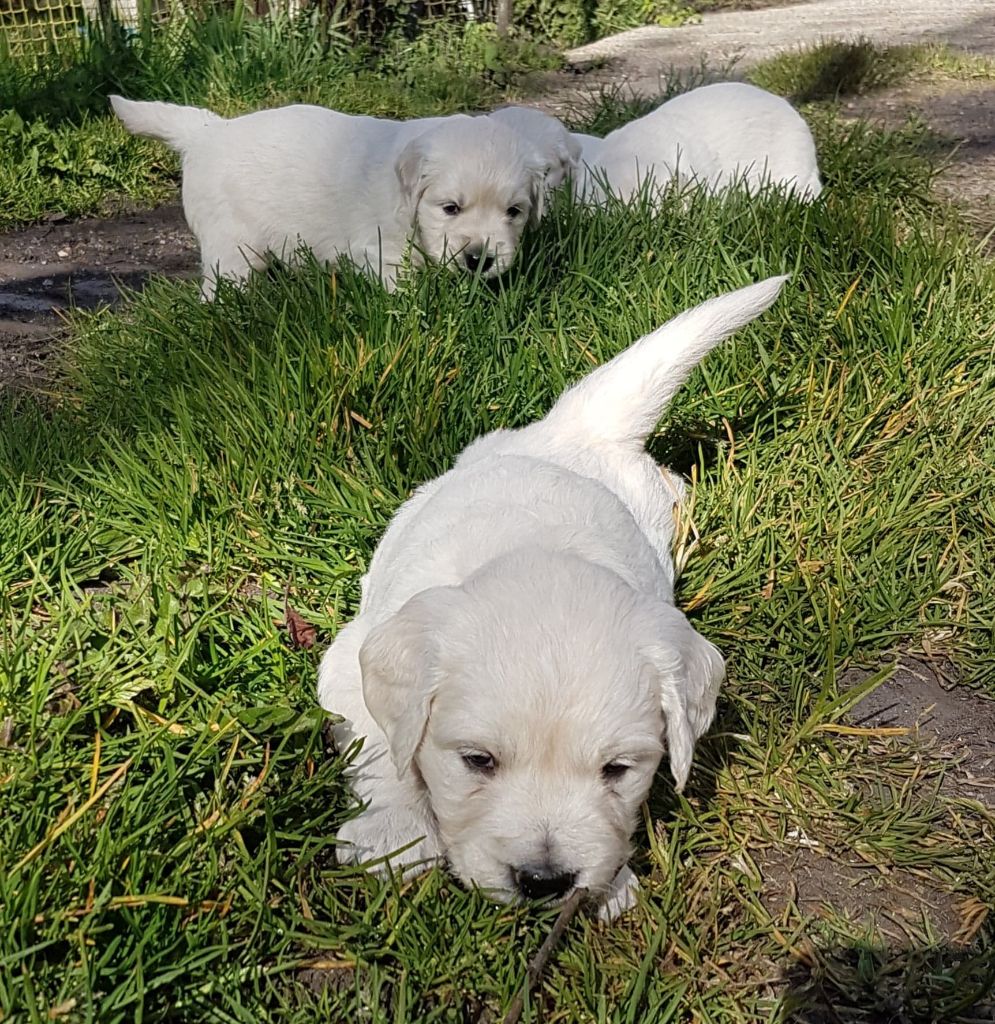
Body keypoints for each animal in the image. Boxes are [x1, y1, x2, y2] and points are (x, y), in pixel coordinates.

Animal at [110, 98, 569, 299]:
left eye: (514, 212)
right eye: (450, 208)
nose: (480, 260)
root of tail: (207, 133)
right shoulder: (380, 251)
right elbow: (406, 290)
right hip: (230, 245)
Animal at [317, 272, 786, 921]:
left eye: (617, 770)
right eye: (477, 761)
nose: (544, 882)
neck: (533, 547)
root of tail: (578, 430)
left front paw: (611, 885)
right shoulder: (349, 660)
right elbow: (379, 741)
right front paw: (394, 834)